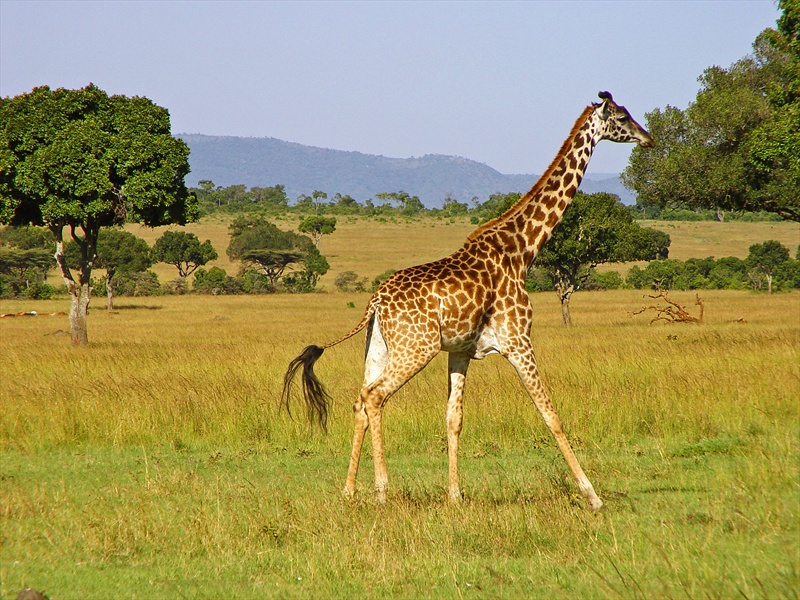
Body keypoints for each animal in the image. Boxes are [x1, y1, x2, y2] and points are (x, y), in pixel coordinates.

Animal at [284, 91, 652, 508]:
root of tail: (375, 302)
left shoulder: (460, 350)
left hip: (378, 348)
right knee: (375, 397)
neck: (522, 250)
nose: (647, 138)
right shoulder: (518, 340)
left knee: (360, 399)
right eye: (621, 117)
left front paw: (455, 496)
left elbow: (453, 418)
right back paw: (381, 490)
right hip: (416, 349)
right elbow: (551, 414)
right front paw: (592, 496)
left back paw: (349, 490)